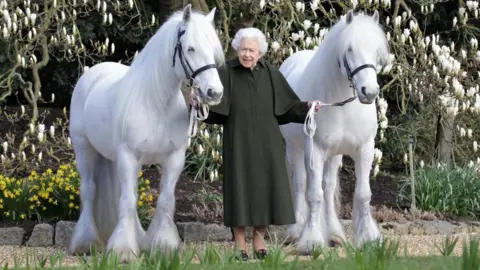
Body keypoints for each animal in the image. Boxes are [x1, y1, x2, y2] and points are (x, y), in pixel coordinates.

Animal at [67, 4, 225, 262]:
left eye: (213, 50)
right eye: (190, 48)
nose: (214, 92)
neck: (156, 103)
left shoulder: (174, 159)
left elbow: (164, 200)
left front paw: (163, 246)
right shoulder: (129, 157)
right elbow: (128, 201)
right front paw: (122, 251)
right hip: (84, 150)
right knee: (89, 191)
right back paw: (85, 243)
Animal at [280, 9, 392, 254]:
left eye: (376, 51)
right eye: (349, 49)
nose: (369, 92)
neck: (343, 105)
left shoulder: (364, 149)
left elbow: (363, 194)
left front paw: (368, 238)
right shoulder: (315, 151)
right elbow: (314, 195)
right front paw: (311, 241)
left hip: (334, 155)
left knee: (329, 186)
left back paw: (333, 233)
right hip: (295, 149)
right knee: (301, 184)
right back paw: (296, 231)